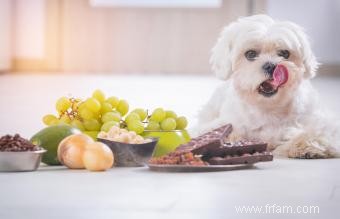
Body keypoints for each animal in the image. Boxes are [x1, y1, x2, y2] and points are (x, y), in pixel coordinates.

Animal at [195, 14, 340, 158]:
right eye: (250, 54)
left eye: (284, 53)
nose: (271, 66)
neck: (269, 108)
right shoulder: (225, 123)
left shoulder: (321, 121)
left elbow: (317, 132)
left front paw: (305, 145)